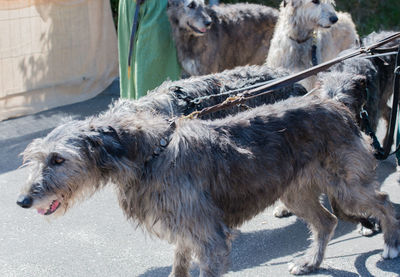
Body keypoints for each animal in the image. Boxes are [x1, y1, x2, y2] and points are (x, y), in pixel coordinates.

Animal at [16, 94, 400, 274]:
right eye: (34, 158)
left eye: (58, 159)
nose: (22, 201)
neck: (147, 154)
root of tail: (337, 104)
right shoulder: (185, 232)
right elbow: (178, 268)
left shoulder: (210, 239)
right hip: (296, 193)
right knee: (326, 221)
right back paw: (310, 263)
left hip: (346, 187)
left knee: (385, 203)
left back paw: (390, 246)